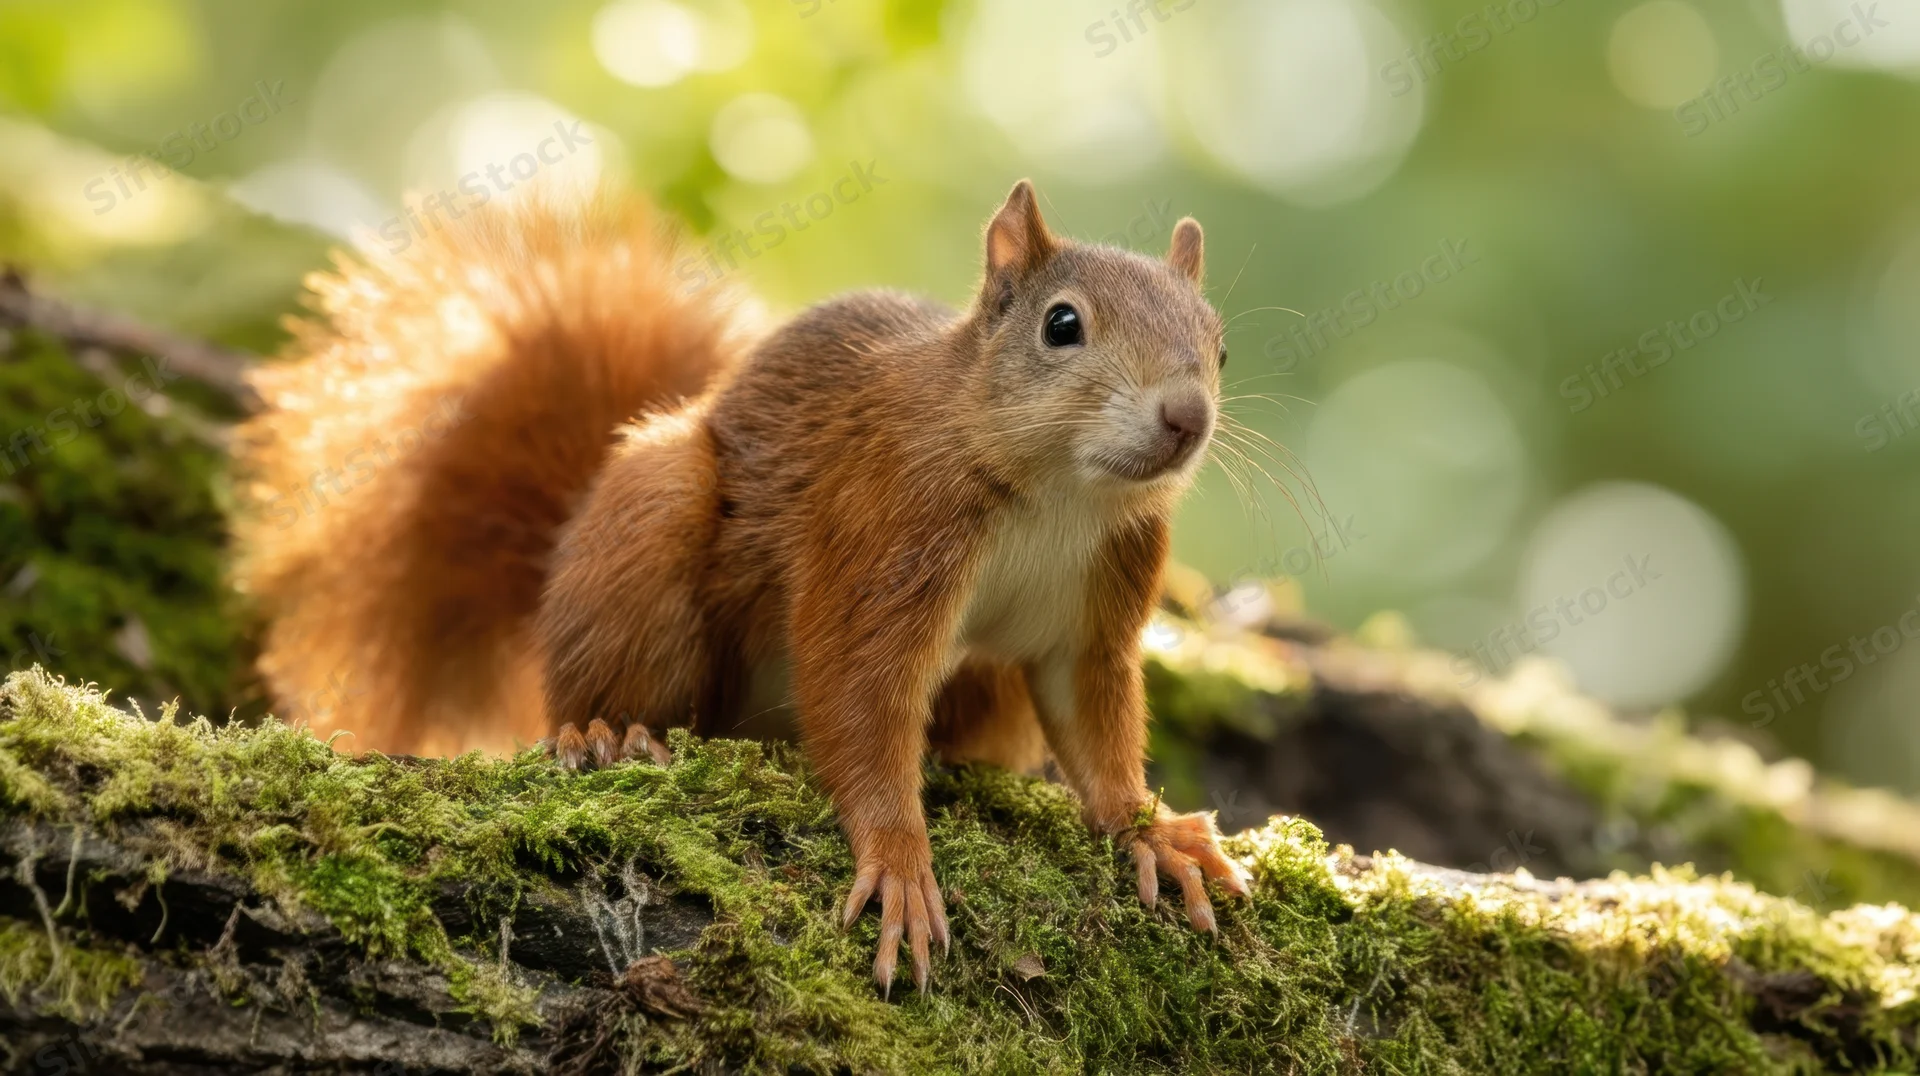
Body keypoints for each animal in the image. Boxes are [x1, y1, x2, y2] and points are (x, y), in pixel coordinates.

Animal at [233, 179, 1250, 994]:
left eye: (1220, 346)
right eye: (1062, 324)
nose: (1186, 418)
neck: (1060, 492)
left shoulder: (1097, 607)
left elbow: (1092, 722)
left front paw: (1149, 830)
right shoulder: (884, 525)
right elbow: (857, 690)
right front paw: (900, 861)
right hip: (654, 524)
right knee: (594, 687)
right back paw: (606, 734)